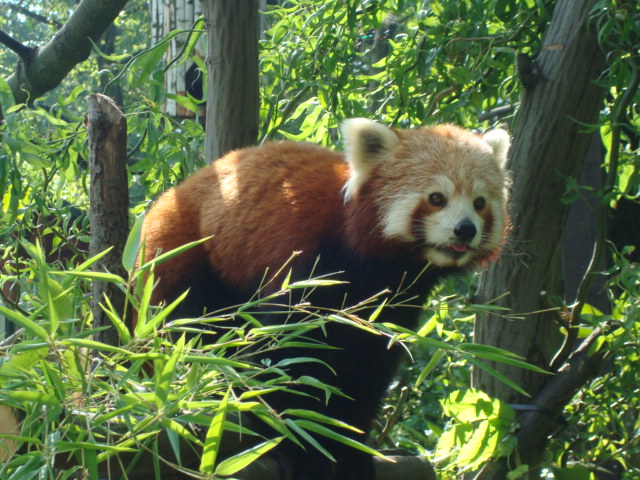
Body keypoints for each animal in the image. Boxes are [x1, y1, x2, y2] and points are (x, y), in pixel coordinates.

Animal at [140, 118, 510, 478]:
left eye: (480, 203)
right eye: (437, 198)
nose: (466, 229)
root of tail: (169, 197)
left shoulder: (388, 309)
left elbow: (365, 373)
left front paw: (352, 453)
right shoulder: (311, 267)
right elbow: (276, 361)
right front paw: (300, 450)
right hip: (183, 253)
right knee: (194, 329)